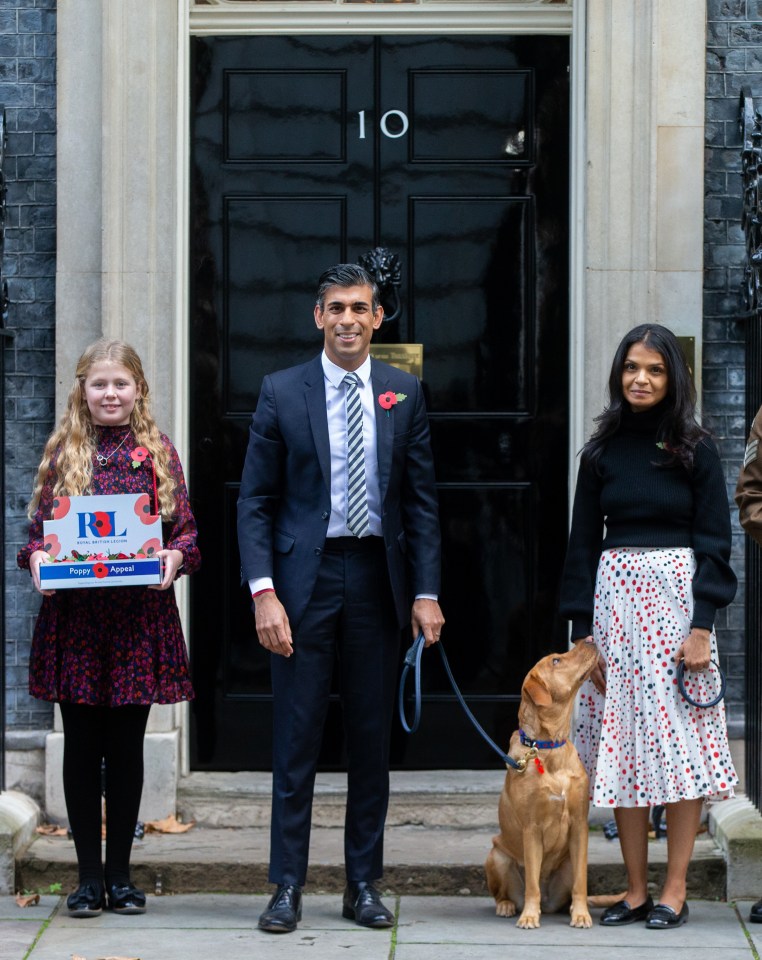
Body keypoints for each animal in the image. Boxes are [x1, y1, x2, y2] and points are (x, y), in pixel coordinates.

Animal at [484, 640, 604, 928]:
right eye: (556, 661)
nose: (590, 639)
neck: (550, 747)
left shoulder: (579, 825)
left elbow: (581, 884)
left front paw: (581, 914)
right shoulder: (531, 829)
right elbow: (532, 885)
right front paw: (529, 915)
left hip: (569, 863)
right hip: (497, 857)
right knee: (506, 892)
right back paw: (507, 906)